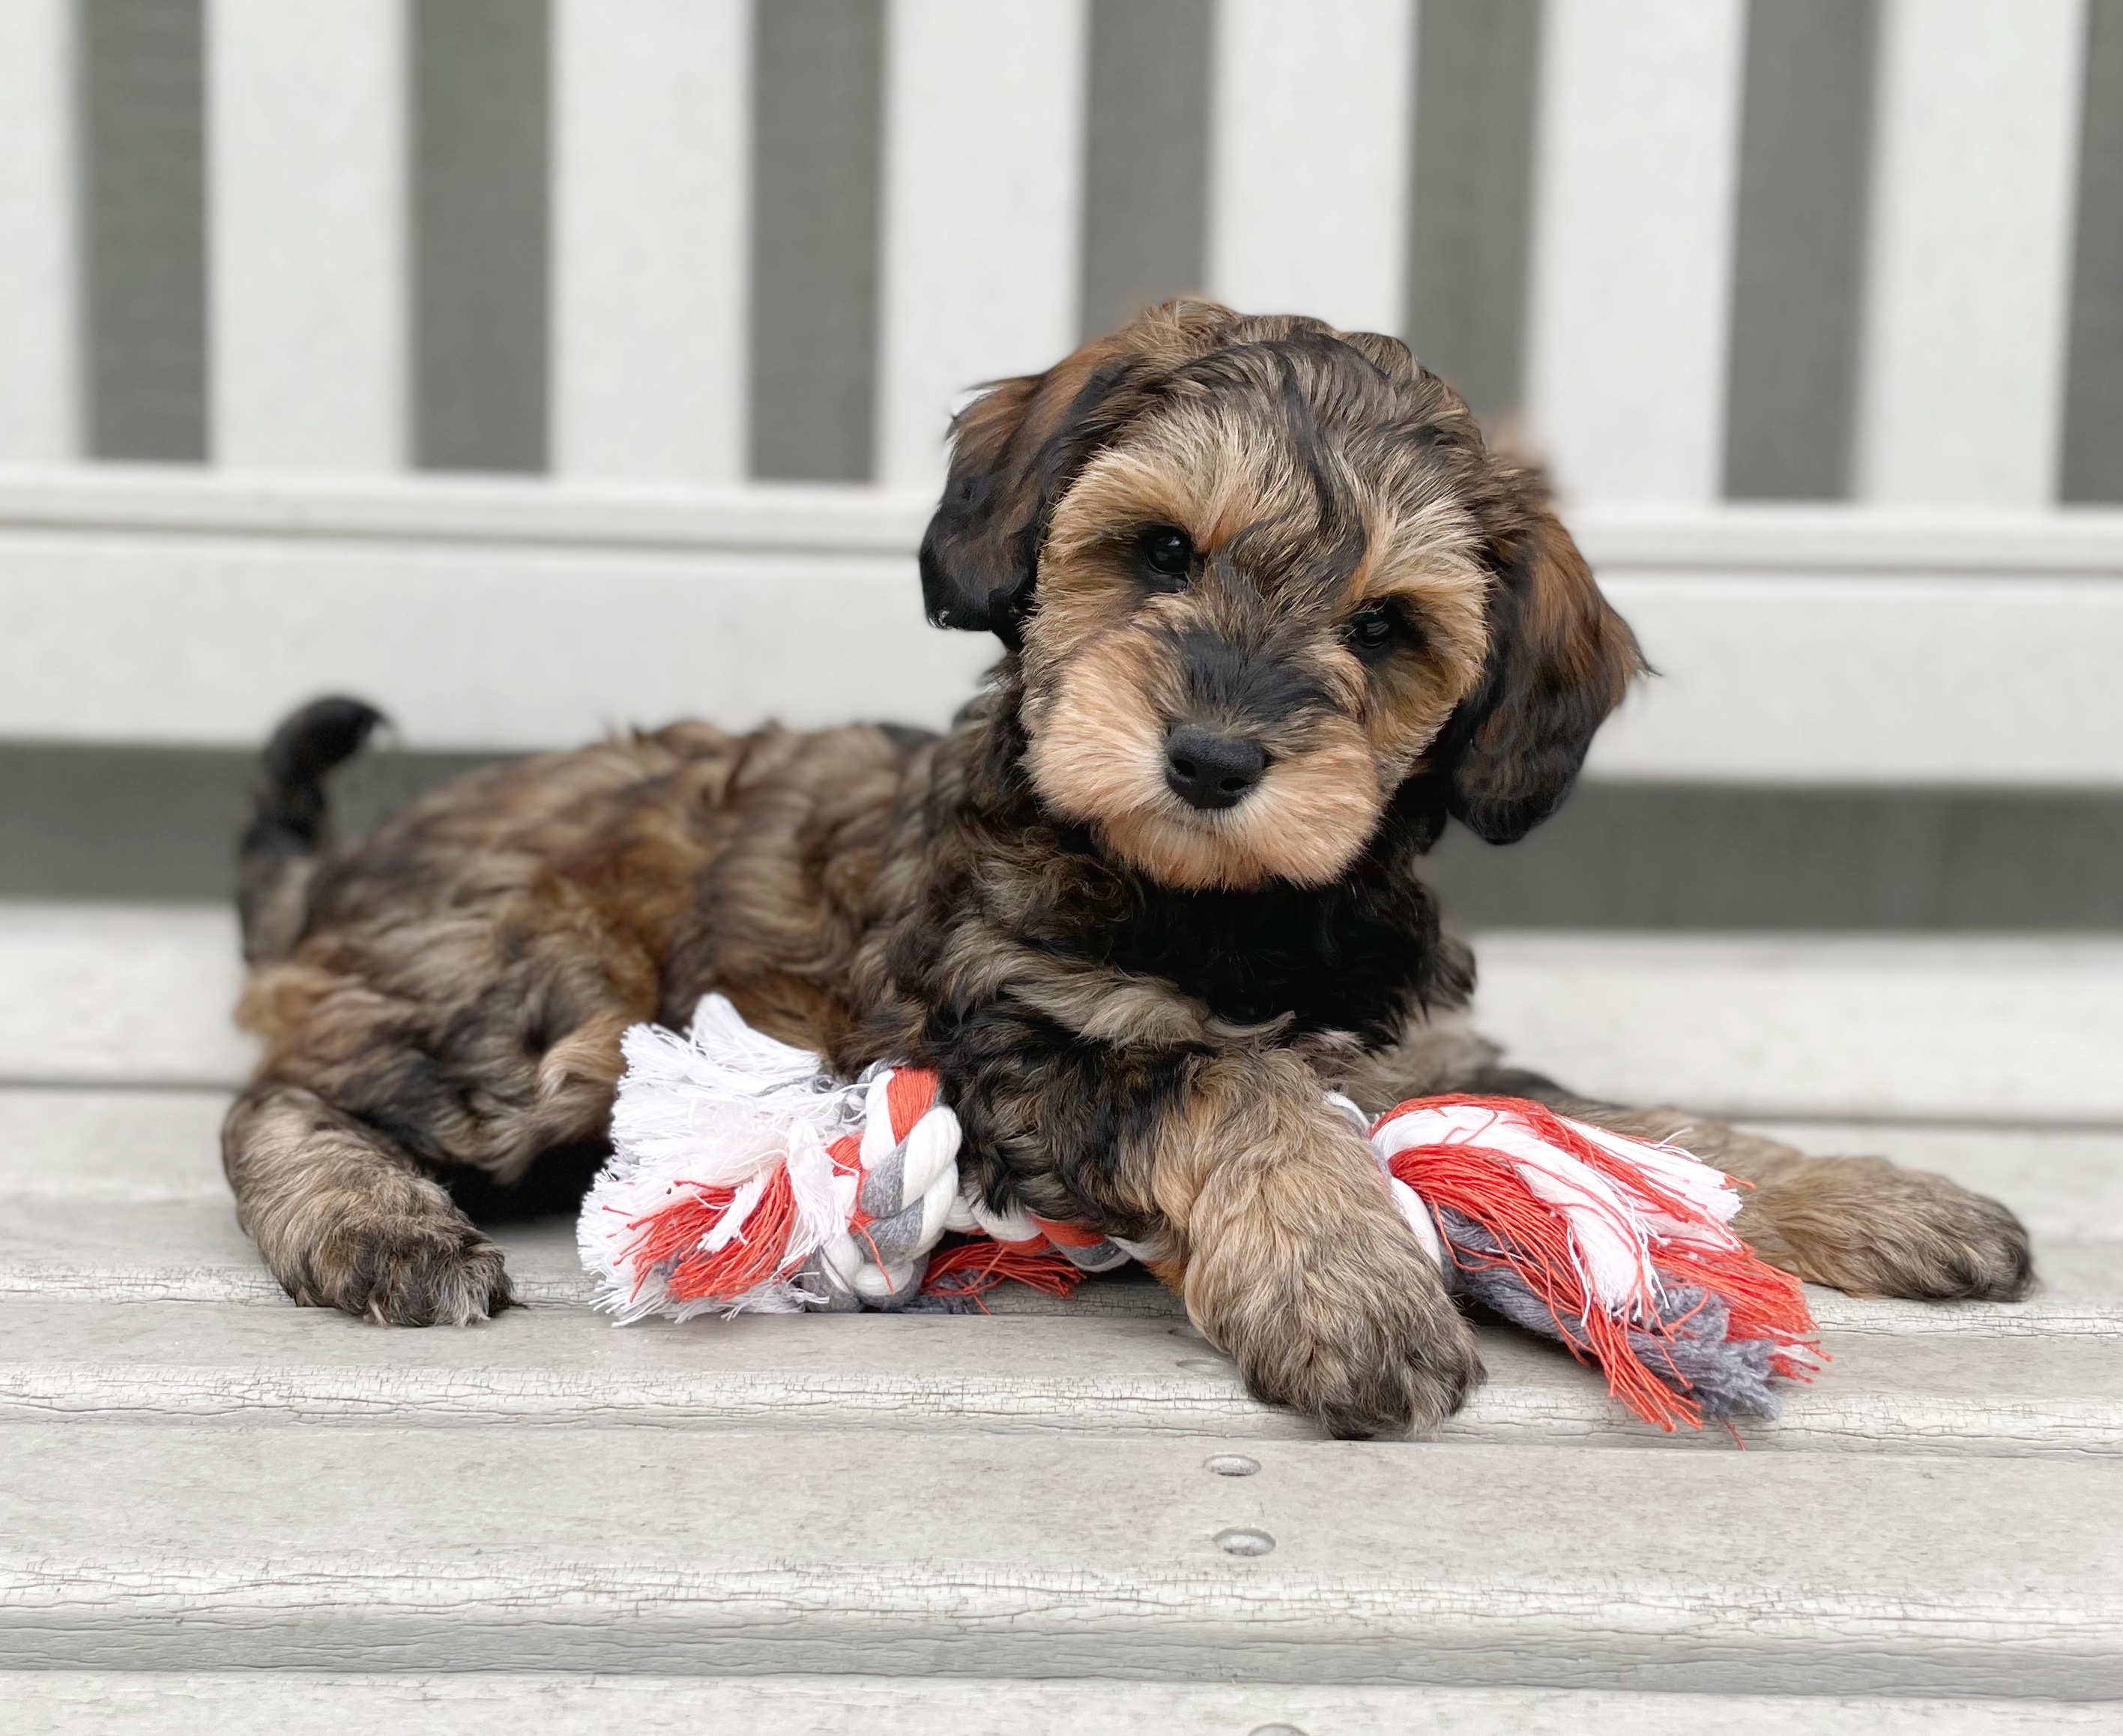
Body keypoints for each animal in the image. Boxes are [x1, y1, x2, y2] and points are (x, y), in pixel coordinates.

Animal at [223, 301, 2029, 1434]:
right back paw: (372, 1227)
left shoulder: (1419, 1047)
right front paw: (1345, 1284)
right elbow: (1237, 1092)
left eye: (1387, 629)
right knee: (283, 1099)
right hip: (552, 1006)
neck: (1225, 912)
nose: (1215, 758)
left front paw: (1873, 1196)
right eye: (1160, 552)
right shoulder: (1031, 1042)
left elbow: (1631, 1130)